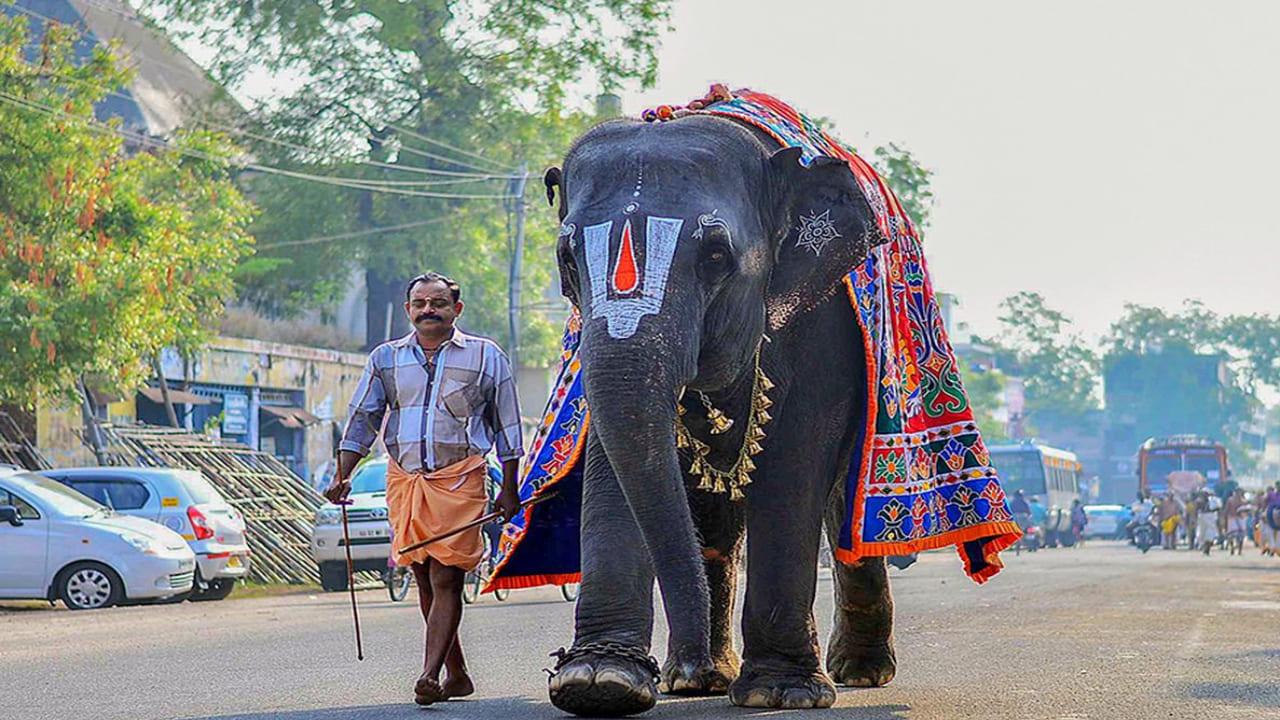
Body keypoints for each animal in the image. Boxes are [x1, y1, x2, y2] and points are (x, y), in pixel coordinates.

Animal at [541, 112, 897, 716]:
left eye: (714, 257)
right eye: (567, 259)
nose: (670, 666)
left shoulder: (823, 319)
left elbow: (797, 455)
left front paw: (780, 692)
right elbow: (611, 454)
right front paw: (599, 681)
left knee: (842, 507)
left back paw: (860, 672)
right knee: (712, 521)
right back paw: (700, 681)